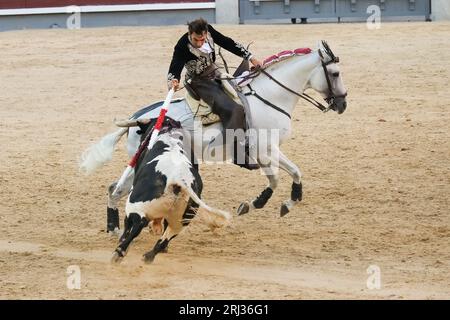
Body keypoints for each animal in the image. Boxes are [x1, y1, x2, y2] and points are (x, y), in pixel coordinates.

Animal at [81, 41, 346, 234]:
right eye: (334, 73)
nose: (342, 104)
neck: (269, 97)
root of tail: (137, 118)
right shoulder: (264, 150)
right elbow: (280, 177)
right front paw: (261, 203)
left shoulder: (268, 150)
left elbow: (289, 173)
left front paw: (279, 203)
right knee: (122, 190)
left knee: (115, 188)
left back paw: (115, 228)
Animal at [111, 119, 232, 264]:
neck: (168, 133)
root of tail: (180, 180)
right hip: (182, 221)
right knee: (164, 238)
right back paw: (148, 256)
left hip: (135, 203)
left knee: (136, 223)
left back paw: (120, 251)